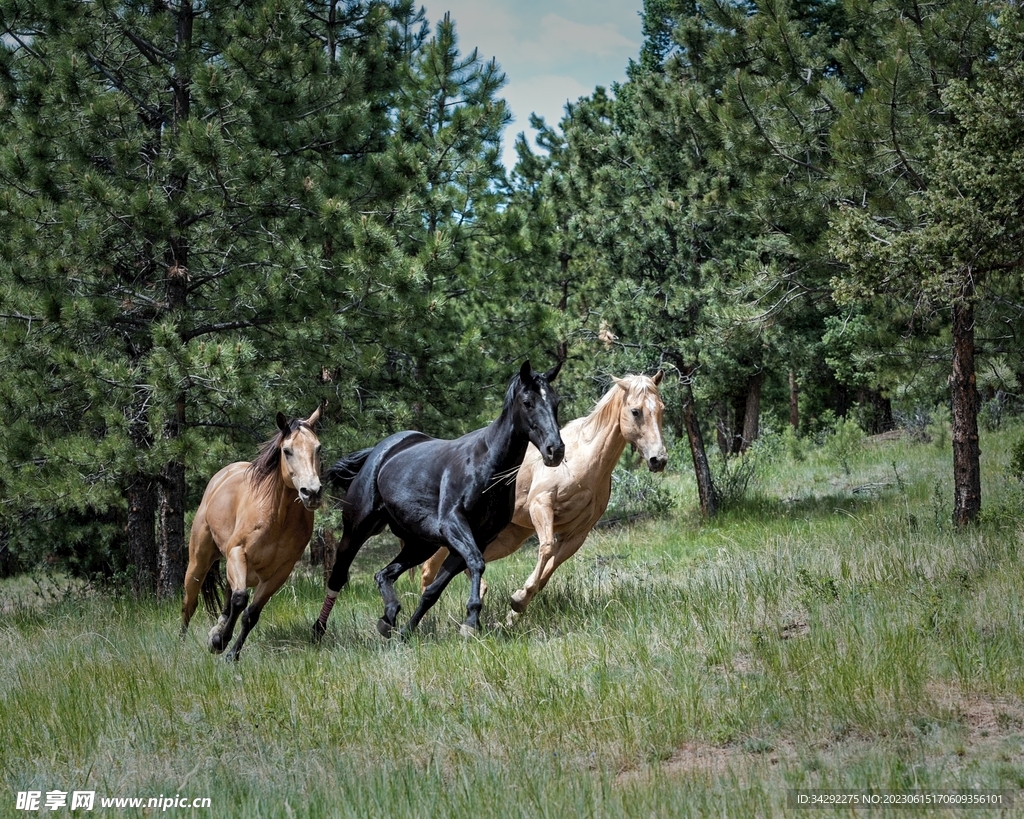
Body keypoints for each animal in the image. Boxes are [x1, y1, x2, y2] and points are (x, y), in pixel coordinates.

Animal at [181, 407, 323, 661]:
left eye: (318, 448)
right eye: (287, 451)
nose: (312, 492)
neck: (277, 517)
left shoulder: (280, 572)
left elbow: (251, 613)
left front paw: (230, 652)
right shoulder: (238, 553)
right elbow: (240, 600)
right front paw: (219, 641)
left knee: (228, 598)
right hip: (199, 562)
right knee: (190, 603)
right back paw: (181, 646)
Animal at [312, 360, 564, 641]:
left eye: (556, 402)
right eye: (528, 402)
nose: (555, 450)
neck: (486, 466)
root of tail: (380, 451)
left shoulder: (475, 538)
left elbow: (434, 590)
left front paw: (408, 631)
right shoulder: (454, 525)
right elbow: (476, 563)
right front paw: (470, 621)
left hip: (420, 544)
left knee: (383, 574)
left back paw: (389, 617)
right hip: (356, 529)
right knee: (338, 576)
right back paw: (318, 630)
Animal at [420, 371, 666, 620]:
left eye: (661, 408)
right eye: (635, 411)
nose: (659, 459)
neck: (584, 460)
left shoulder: (578, 533)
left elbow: (549, 570)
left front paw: (516, 609)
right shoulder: (541, 506)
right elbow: (546, 547)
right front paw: (518, 600)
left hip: (508, 538)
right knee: (430, 568)